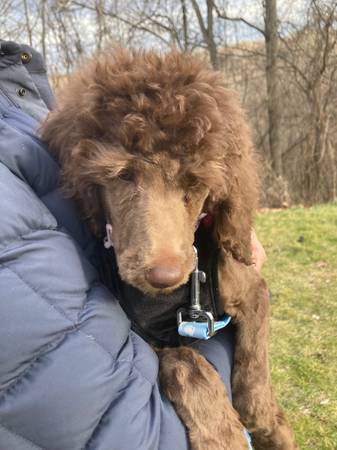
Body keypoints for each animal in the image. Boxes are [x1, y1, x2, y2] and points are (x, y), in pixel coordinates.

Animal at [41, 49, 296, 450]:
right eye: (122, 176)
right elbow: (186, 363)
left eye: (195, 183)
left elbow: (254, 366)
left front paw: (263, 420)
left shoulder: (254, 291)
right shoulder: (147, 338)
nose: (165, 275)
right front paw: (223, 434)